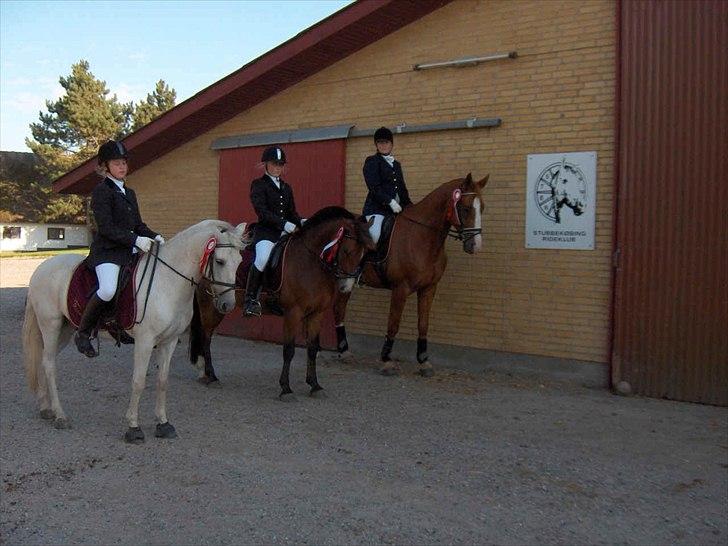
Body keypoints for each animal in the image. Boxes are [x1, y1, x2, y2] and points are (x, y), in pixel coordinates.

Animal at [21, 219, 247, 440]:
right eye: (220, 261)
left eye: (239, 262)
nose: (227, 305)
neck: (167, 281)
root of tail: (41, 268)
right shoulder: (145, 341)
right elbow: (138, 382)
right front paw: (133, 427)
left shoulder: (169, 341)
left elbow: (162, 381)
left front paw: (163, 424)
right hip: (51, 325)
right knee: (50, 365)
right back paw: (60, 416)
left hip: (65, 330)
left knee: (43, 360)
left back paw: (46, 409)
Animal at [188, 206, 376, 398]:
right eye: (347, 251)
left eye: (365, 253)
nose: (346, 286)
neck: (310, 261)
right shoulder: (293, 312)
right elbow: (289, 350)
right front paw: (286, 388)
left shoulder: (317, 313)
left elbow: (312, 349)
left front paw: (314, 385)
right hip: (211, 306)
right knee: (206, 337)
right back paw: (211, 376)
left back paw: (205, 373)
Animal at [334, 172, 490, 376]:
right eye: (464, 208)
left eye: (482, 208)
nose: (475, 246)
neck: (422, 236)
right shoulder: (400, 289)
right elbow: (393, 324)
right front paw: (386, 360)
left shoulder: (429, 288)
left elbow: (423, 324)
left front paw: (424, 361)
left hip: (346, 281)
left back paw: (343, 351)